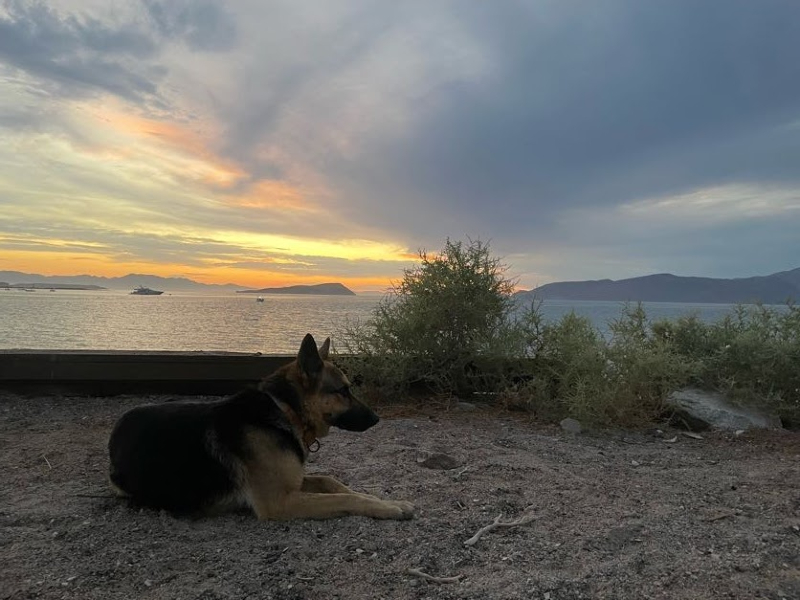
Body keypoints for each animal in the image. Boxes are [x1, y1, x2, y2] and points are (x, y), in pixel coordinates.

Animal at [108, 332, 416, 520]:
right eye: (343, 391)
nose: (377, 418)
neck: (284, 411)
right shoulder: (280, 501)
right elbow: (345, 500)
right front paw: (388, 507)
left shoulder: (294, 481)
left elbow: (334, 482)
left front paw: (390, 501)